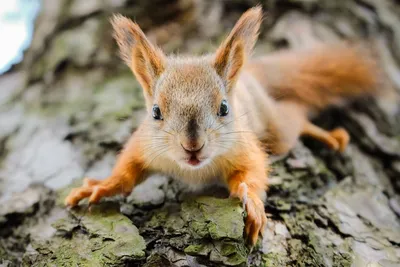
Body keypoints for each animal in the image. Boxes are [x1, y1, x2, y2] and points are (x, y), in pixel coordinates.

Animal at [64, 6, 380, 246]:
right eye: (155, 112)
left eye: (224, 108)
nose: (192, 146)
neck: (194, 170)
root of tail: (251, 75)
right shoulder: (145, 145)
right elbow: (126, 171)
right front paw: (102, 185)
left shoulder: (244, 146)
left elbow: (252, 172)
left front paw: (252, 203)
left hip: (275, 129)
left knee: (294, 117)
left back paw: (327, 134)